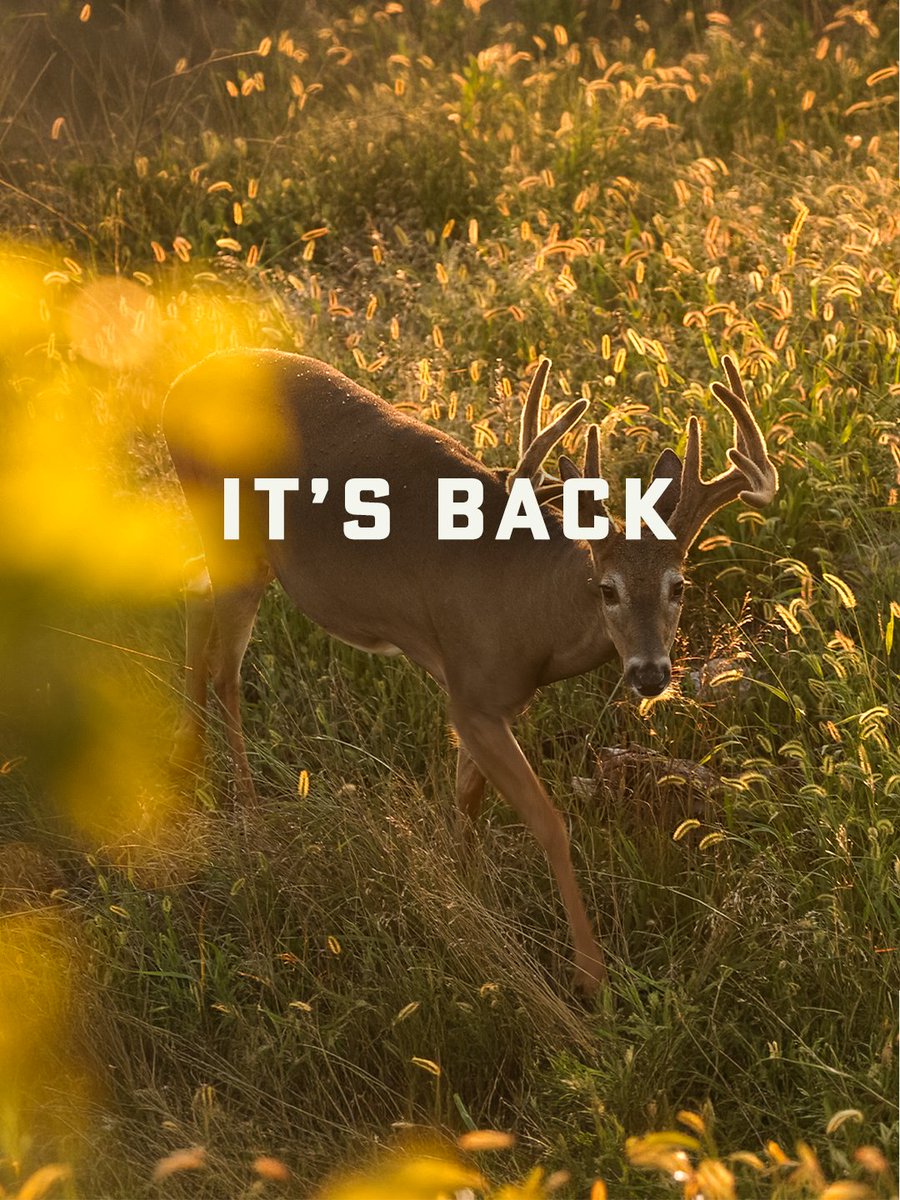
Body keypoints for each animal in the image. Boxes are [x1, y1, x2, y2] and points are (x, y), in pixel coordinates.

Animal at [163, 350, 778, 996]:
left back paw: (188, 762)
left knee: (192, 590)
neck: (529, 608)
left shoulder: (487, 701)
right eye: (606, 589)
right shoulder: (473, 695)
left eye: (679, 586)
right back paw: (247, 811)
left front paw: (469, 895)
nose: (651, 673)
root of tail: (177, 386)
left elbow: (466, 800)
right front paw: (591, 978)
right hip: (236, 539)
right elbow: (548, 821)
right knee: (225, 669)